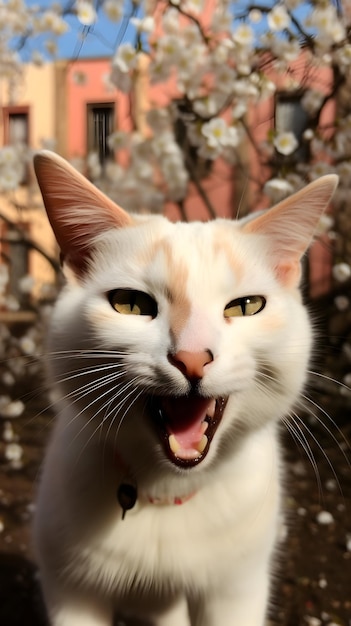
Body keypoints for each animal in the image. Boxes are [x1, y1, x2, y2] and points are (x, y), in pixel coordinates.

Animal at [32, 147, 338, 624]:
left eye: (246, 306)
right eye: (130, 304)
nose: (192, 357)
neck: (167, 491)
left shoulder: (237, 588)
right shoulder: (70, 588)